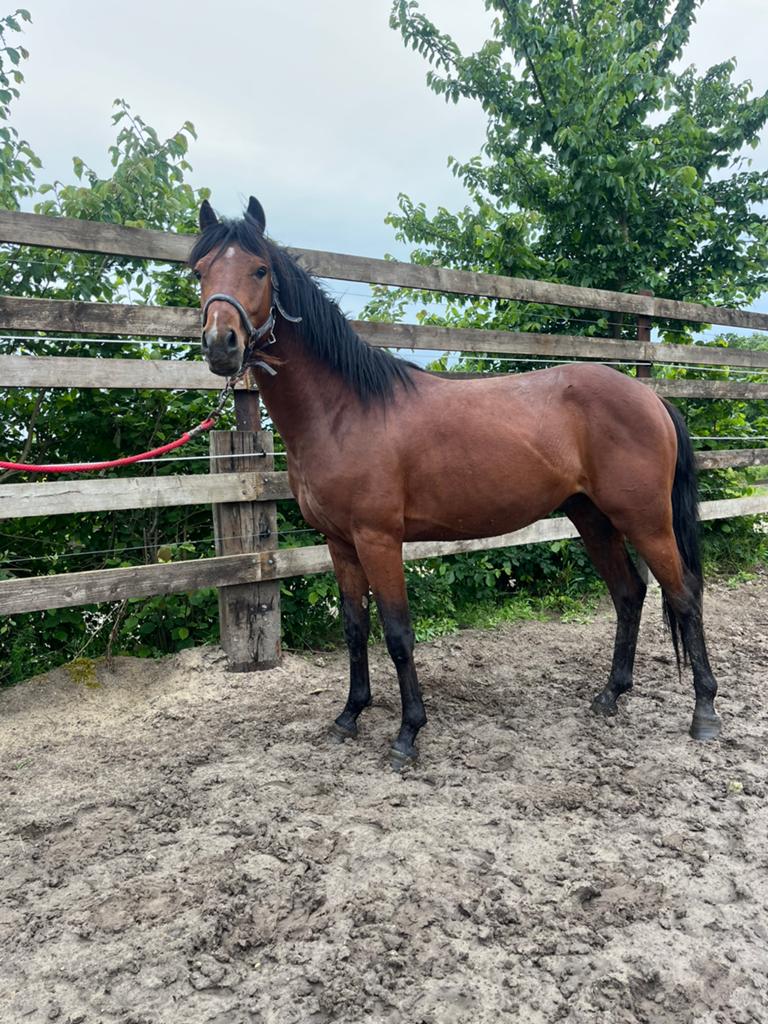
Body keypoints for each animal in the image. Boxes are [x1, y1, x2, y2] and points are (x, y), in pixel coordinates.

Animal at [190, 196, 721, 767]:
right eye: (200, 271)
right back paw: (610, 695)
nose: (221, 344)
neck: (344, 411)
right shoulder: (339, 543)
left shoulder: (379, 540)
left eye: (260, 270)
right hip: (593, 518)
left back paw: (704, 713)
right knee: (628, 594)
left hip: (645, 520)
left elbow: (398, 634)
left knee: (684, 595)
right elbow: (355, 628)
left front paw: (407, 733)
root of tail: (651, 399)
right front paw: (350, 715)